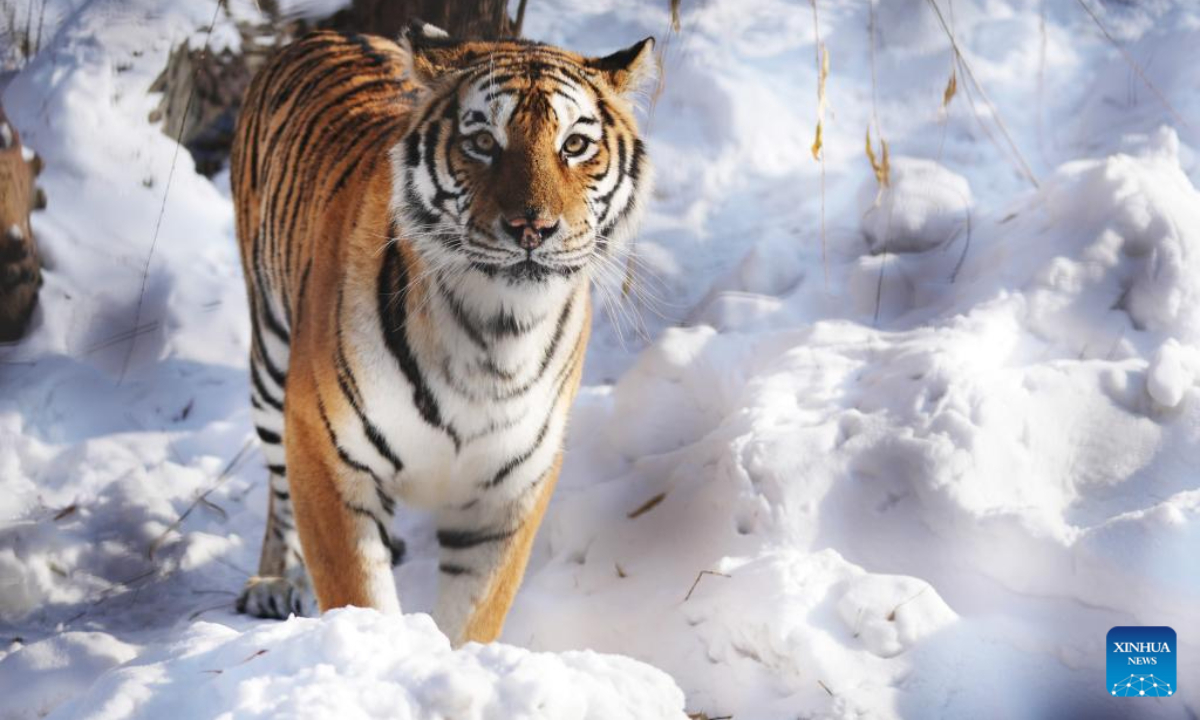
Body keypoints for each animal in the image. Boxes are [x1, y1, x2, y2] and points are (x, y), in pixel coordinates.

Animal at [228, 22, 652, 643]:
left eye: (575, 145)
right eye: (482, 141)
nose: (533, 228)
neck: (495, 329)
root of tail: (328, 30)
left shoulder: (511, 486)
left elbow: (473, 614)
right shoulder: (323, 445)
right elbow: (358, 591)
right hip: (270, 360)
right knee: (279, 490)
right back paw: (273, 582)